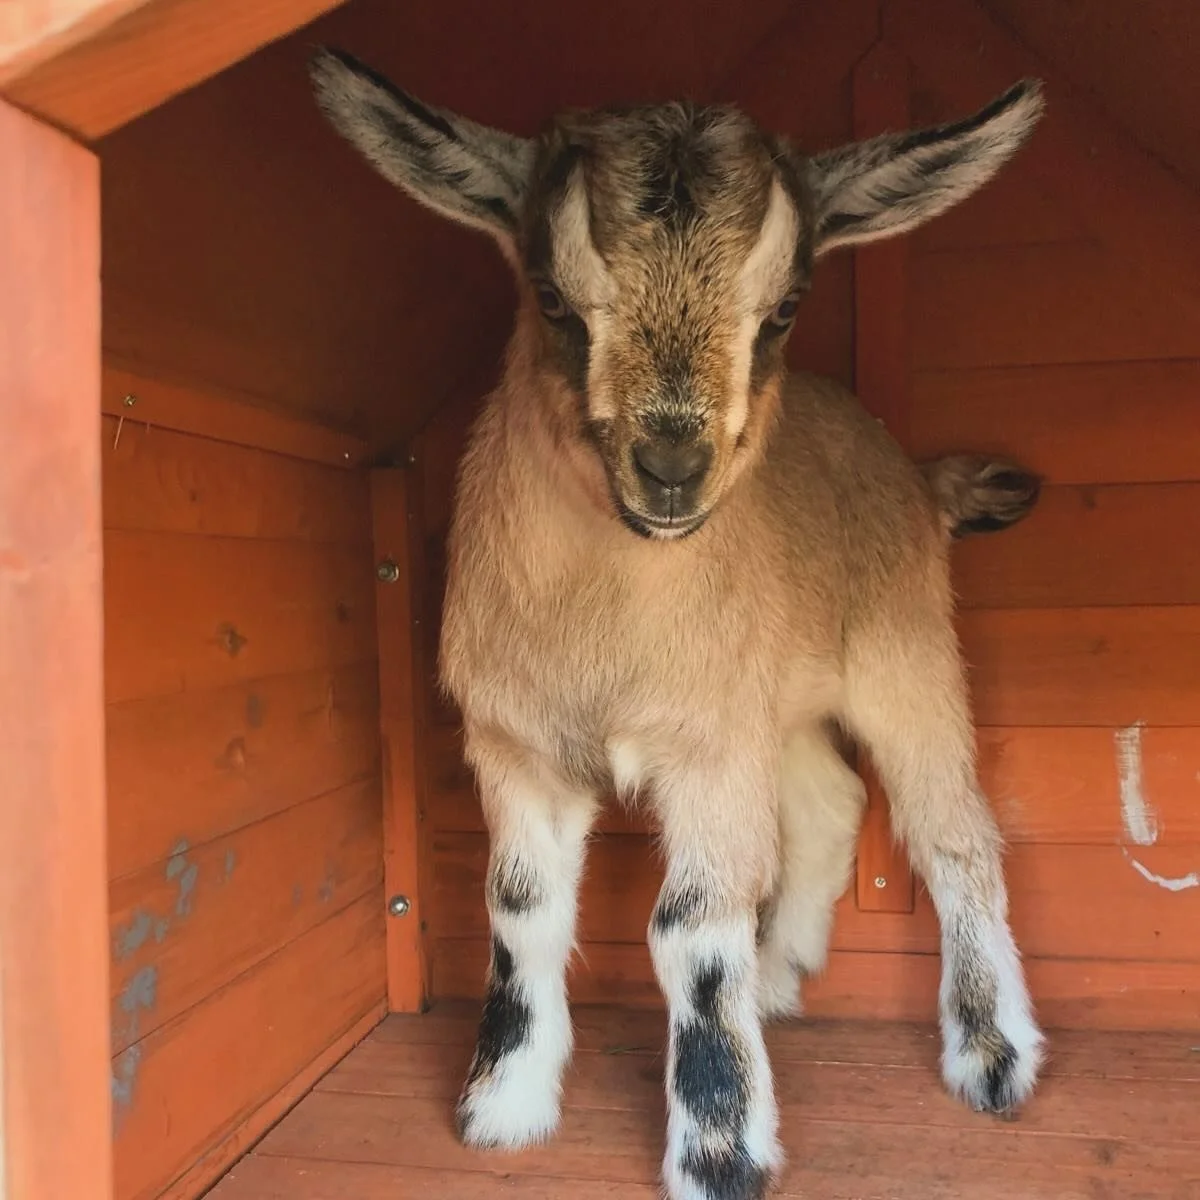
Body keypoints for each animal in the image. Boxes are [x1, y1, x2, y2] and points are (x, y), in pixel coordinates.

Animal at [311, 50, 1047, 1200]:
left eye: (785, 307)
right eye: (551, 298)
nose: (670, 468)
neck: (612, 616)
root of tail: (916, 477)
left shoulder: (707, 748)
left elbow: (691, 932)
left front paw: (719, 1152)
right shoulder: (524, 745)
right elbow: (520, 905)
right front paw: (503, 1105)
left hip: (905, 655)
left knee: (951, 831)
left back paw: (991, 1054)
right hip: (776, 707)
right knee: (831, 803)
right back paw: (781, 976)